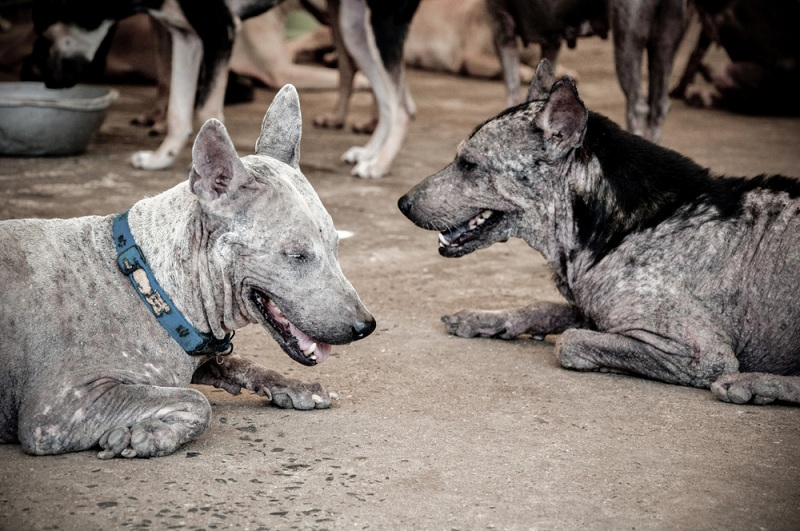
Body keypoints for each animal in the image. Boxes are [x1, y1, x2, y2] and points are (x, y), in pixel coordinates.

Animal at [0, 85, 376, 460]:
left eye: (336, 246)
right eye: (297, 255)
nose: (366, 327)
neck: (151, 287)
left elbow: (239, 363)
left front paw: (295, 386)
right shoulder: (58, 409)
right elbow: (196, 401)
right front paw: (144, 435)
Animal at [31, 0, 288, 170]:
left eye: (45, 37)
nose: (49, 84)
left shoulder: (218, 31)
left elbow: (206, 110)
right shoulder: (186, 37)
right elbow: (177, 112)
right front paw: (162, 157)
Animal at [400, 60, 800, 406]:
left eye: (469, 165)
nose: (402, 203)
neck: (618, 228)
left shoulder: (702, 353)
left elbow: (571, 342)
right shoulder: (588, 305)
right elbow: (542, 307)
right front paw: (486, 318)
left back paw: (754, 384)